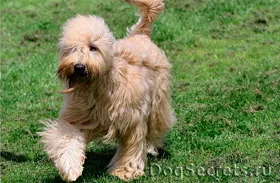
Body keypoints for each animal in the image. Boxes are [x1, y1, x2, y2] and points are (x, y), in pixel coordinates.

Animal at [38, 0, 175, 182]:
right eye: (71, 49)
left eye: (93, 47)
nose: (79, 67)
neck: (98, 86)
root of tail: (141, 35)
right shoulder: (77, 118)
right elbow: (67, 140)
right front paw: (70, 168)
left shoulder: (133, 121)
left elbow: (132, 147)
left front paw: (125, 171)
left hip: (157, 102)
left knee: (156, 126)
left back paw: (151, 146)